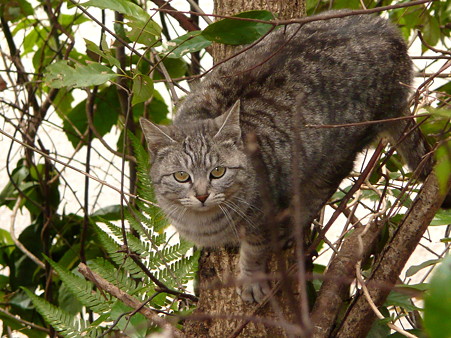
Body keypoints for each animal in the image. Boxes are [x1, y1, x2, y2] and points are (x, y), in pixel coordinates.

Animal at [142, 11, 438, 302]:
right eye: (181, 176)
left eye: (218, 172)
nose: (202, 195)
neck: (202, 223)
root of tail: (393, 38)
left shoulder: (264, 218)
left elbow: (255, 250)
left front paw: (251, 279)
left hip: (337, 154)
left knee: (318, 192)